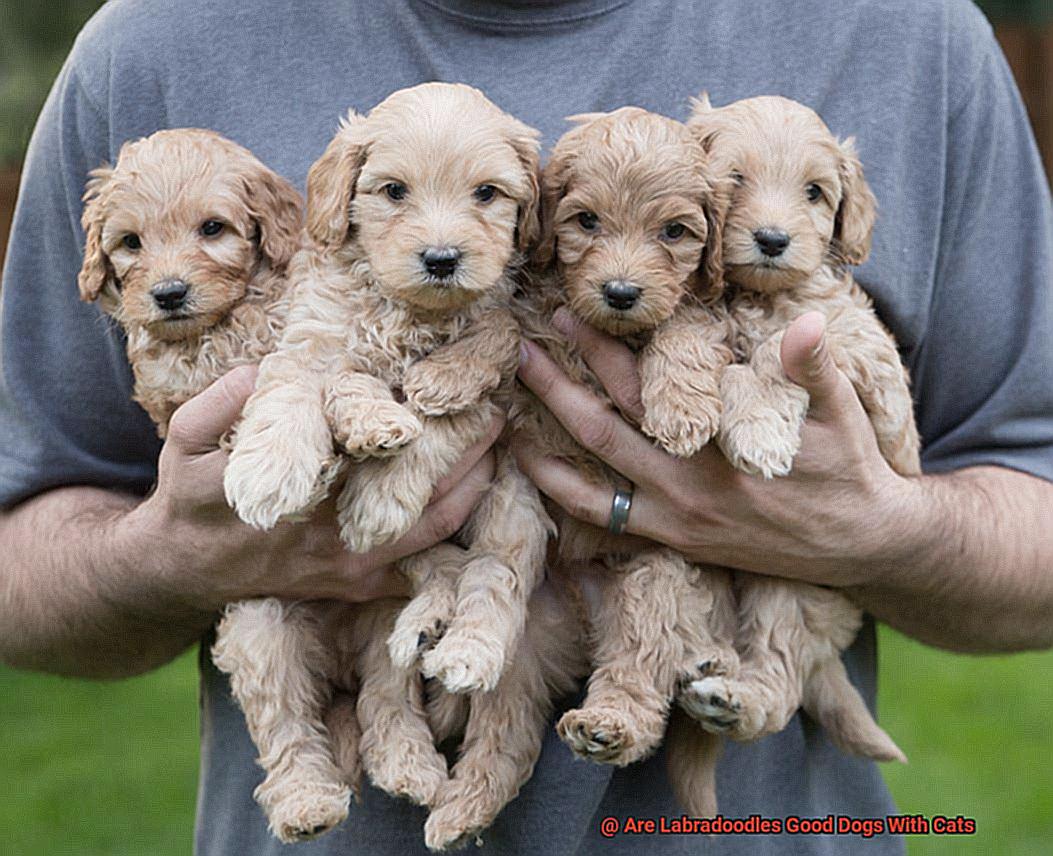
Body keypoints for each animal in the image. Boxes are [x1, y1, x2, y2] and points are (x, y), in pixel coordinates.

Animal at [509, 108, 741, 812]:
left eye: (674, 232)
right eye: (586, 221)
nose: (619, 292)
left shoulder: (703, 307)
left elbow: (685, 326)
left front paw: (680, 410)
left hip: (657, 579)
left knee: (640, 673)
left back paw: (609, 725)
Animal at [678, 93, 918, 762]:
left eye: (815, 192)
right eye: (734, 179)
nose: (772, 239)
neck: (757, 295)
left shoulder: (856, 350)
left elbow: (770, 351)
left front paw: (759, 431)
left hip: (792, 583)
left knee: (782, 679)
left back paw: (734, 699)